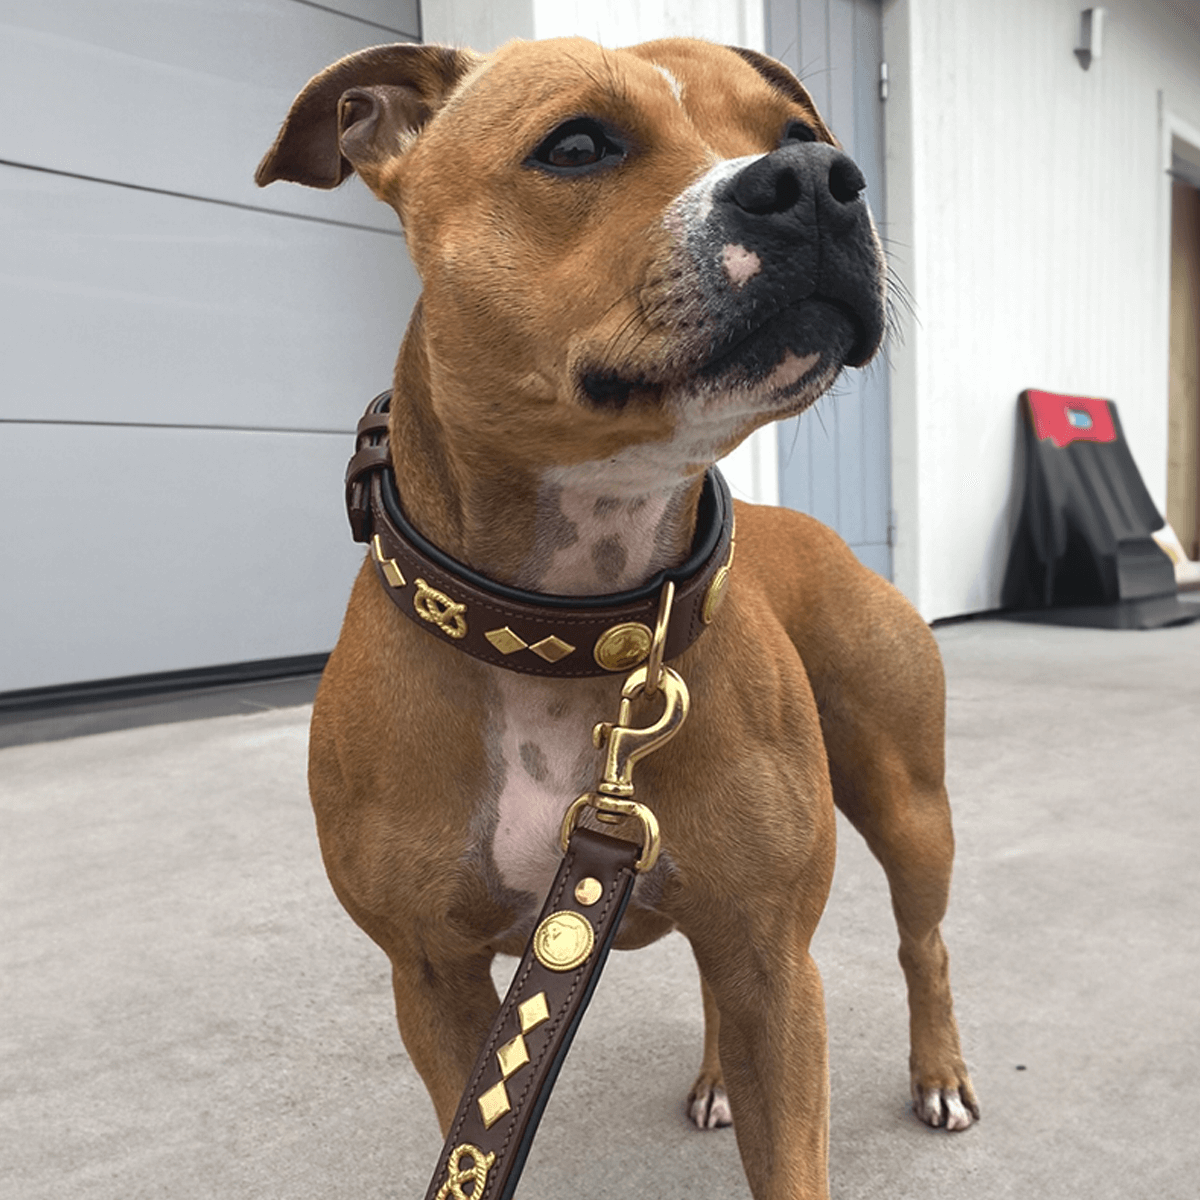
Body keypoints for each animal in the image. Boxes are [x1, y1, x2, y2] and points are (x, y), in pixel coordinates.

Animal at [258, 32, 979, 1195]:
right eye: (577, 145)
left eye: (797, 134)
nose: (820, 179)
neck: (571, 622)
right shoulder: (435, 979)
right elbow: (478, 1128)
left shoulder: (776, 962)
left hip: (910, 803)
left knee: (926, 944)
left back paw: (941, 1073)